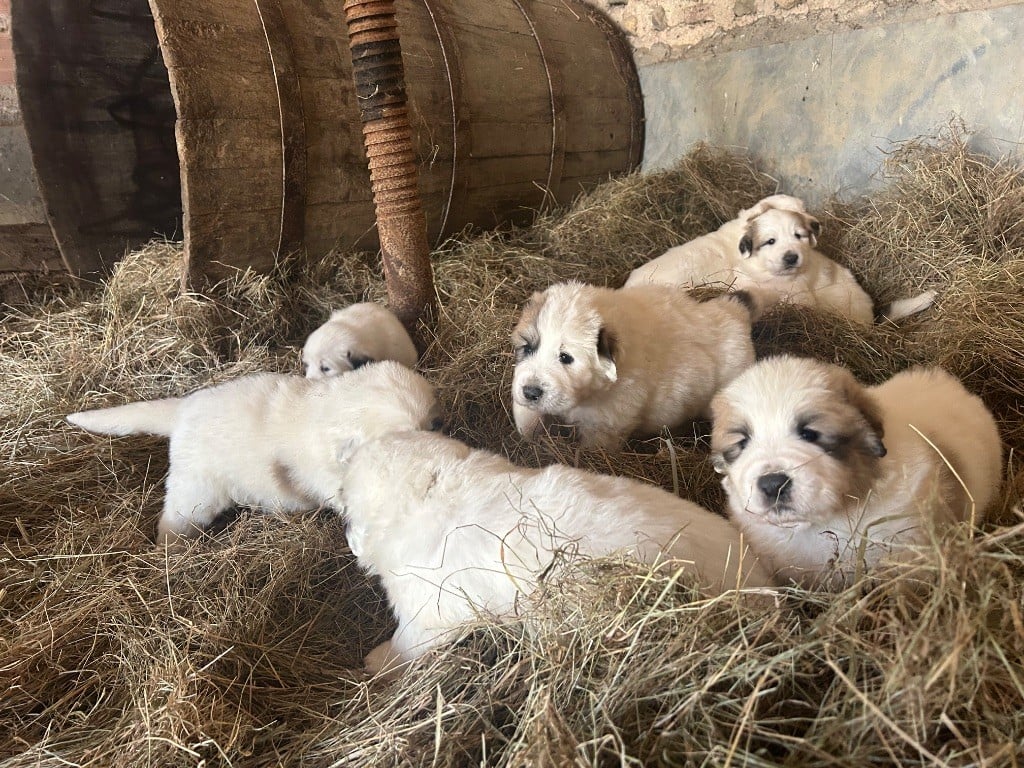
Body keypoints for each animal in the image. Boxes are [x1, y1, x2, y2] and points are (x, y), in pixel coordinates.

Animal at [509, 280, 753, 450]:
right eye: (528, 348)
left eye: (565, 357)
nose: (531, 392)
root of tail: (735, 313)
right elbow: (527, 417)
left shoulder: (605, 424)